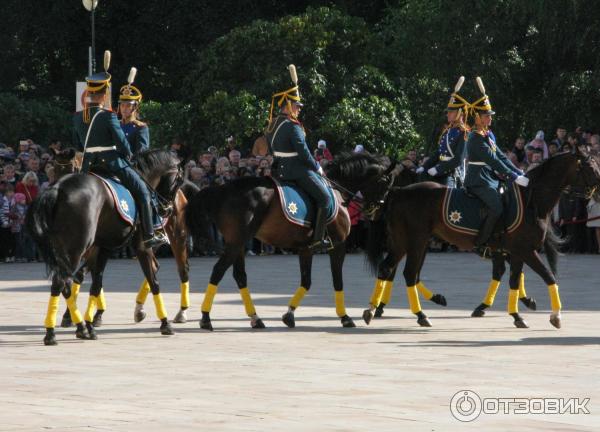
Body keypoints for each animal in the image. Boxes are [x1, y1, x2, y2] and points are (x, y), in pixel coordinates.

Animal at [24, 148, 183, 344]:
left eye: (68, 167)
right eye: (178, 180)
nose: (167, 209)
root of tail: (58, 189)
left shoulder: (103, 248)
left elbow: (95, 284)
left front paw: (89, 323)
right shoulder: (140, 246)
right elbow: (154, 282)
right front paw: (165, 323)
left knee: (63, 283)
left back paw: (75, 327)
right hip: (75, 249)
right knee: (62, 281)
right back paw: (53, 332)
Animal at [328, 150, 600, 330]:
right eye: (590, 168)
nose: (373, 207)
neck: (532, 199)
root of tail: (399, 194)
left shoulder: (518, 251)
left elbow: (514, 279)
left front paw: (517, 314)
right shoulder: (524, 250)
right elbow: (548, 276)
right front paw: (555, 316)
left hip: (409, 242)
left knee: (392, 269)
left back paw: (378, 310)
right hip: (413, 241)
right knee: (404, 273)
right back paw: (415, 313)